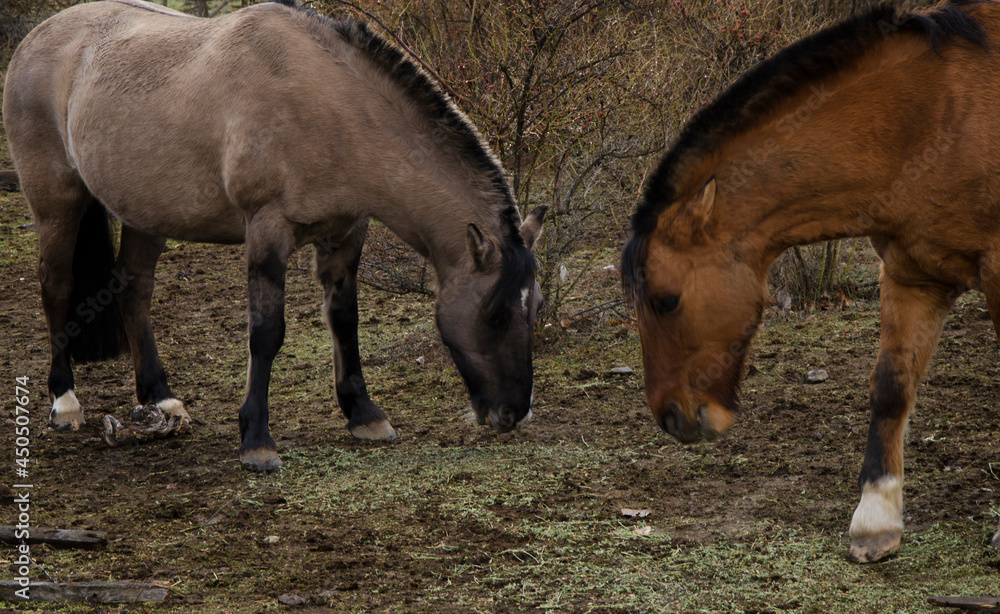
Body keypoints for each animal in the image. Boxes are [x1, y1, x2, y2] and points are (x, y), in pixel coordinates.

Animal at [3, 0, 547, 472]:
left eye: (534, 306)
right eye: (496, 314)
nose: (514, 412)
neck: (327, 105)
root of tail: (36, 37)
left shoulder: (345, 235)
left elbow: (344, 321)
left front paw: (364, 415)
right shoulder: (268, 231)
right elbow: (266, 333)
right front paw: (256, 441)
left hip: (146, 213)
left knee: (134, 289)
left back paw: (161, 397)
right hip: (57, 201)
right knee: (55, 286)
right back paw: (64, 402)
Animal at [622, 0, 1000, 562]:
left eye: (666, 301)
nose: (669, 417)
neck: (936, 116)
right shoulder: (912, 275)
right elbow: (891, 386)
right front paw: (876, 518)